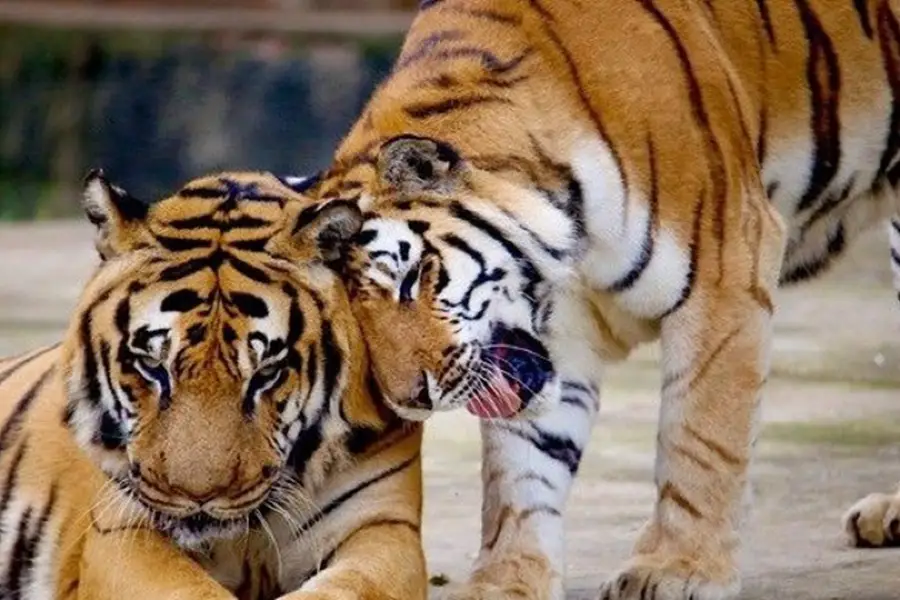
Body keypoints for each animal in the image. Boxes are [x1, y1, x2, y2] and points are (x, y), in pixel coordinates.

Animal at [0, 169, 426, 600]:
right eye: (152, 366)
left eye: (266, 373)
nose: (198, 498)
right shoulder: (123, 531)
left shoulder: (383, 525)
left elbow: (351, 586)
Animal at [298, 1, 900, 600]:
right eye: (355, 320)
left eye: (410, 278)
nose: (413, 398)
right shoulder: (555, 337)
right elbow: (522, 471)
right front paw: (508, 581)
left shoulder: (727, 269)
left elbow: (702, 439)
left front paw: (678, 568)